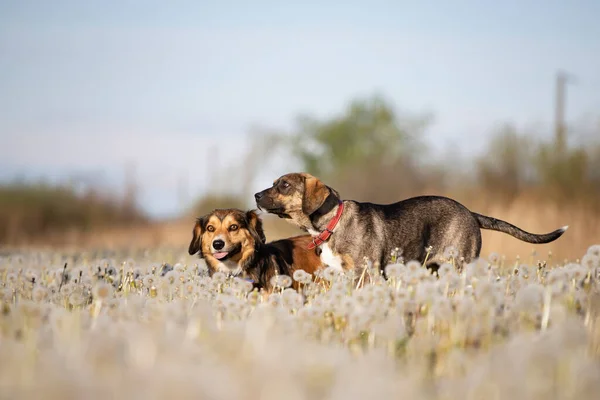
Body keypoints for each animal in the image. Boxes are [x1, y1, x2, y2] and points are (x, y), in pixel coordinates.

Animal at [252, 172, 568, 276]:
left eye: (283, 185)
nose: (255, 195)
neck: (333, 224)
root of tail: (470, 212)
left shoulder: (366, 272)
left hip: (460, 263)